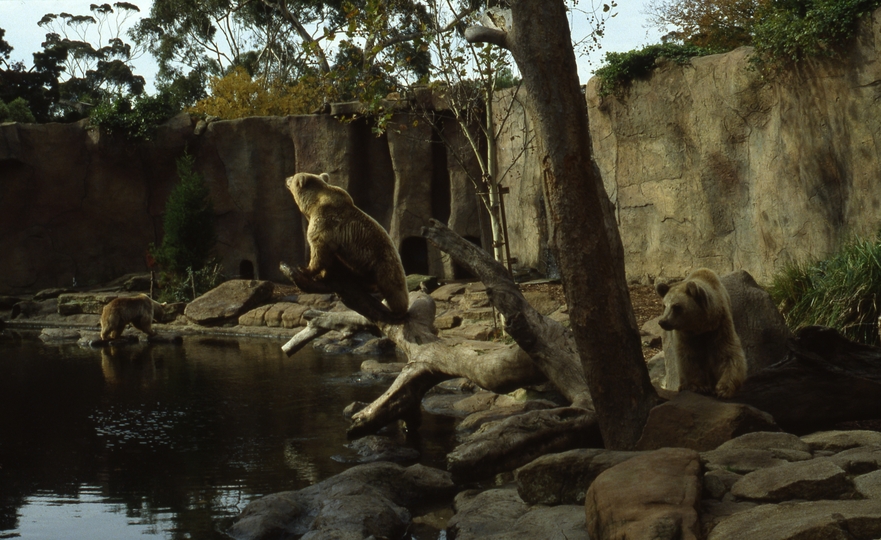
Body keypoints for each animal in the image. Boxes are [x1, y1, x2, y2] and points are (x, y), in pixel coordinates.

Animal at [288, 172, 410, 320]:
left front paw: (306, 269)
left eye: (293, 176)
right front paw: (323, 275)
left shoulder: (325, 221)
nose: (286, 179)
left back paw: (398, 310)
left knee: (393, 286)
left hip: (383, 261)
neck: (312, 205)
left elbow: (318, 248)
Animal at [656, 268, 744, 398]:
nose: (663, 322)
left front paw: (723, 389)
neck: (701, 327)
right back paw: (682, 385)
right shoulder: (685, 334)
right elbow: (689, 356)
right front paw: (699, 386)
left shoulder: (720, 326)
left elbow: (728, 353)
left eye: (676, 306)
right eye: (664, 305)